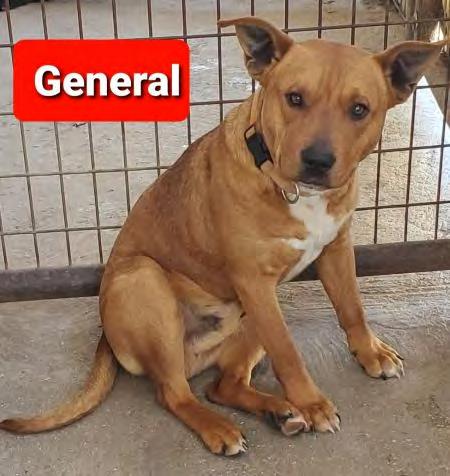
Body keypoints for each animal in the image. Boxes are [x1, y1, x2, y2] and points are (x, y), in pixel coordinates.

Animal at [1, 17, 447, 456]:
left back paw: (279, 412)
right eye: (295, 98)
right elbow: (289, 352)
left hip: (251, 321)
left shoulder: (335, 249)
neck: (291, 188)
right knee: (174, 393)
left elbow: (352, 307)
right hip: (145, 280)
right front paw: (312, 403)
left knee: (221, 386)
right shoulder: (254, 282)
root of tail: (108, 338)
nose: (318, 161)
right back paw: (222, 427)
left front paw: (369, 352)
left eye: (359, 109)